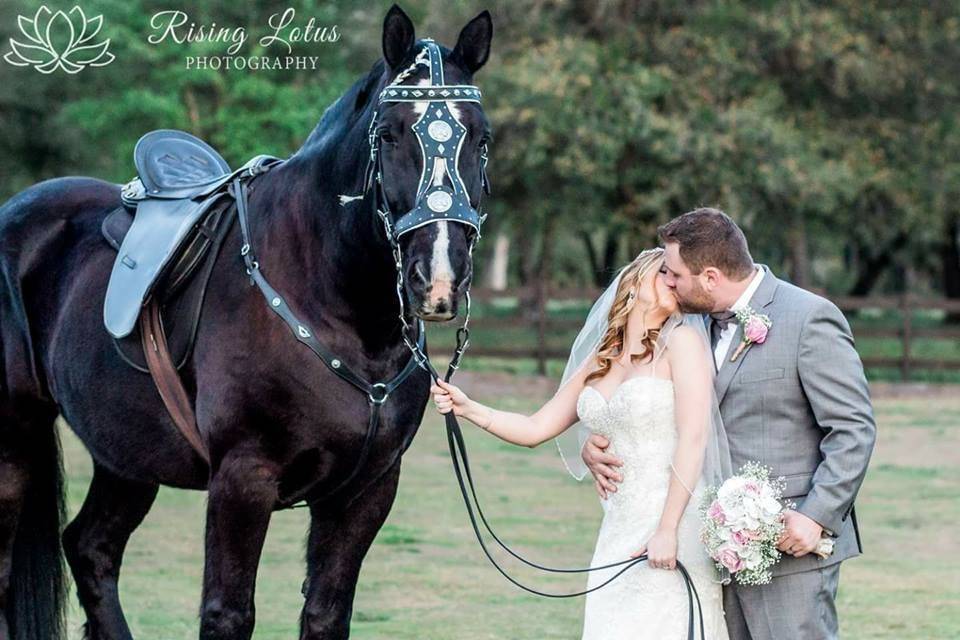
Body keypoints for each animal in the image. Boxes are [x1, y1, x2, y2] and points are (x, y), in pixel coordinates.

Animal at [0, 6, 492, 640]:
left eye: (481, 137)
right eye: (388, 134)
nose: (437, 278)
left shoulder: (368, 489)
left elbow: (327, 612)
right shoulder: (243, 479)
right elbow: (228, 613)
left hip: (124, 453)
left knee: (90, 549)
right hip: (14, 446)